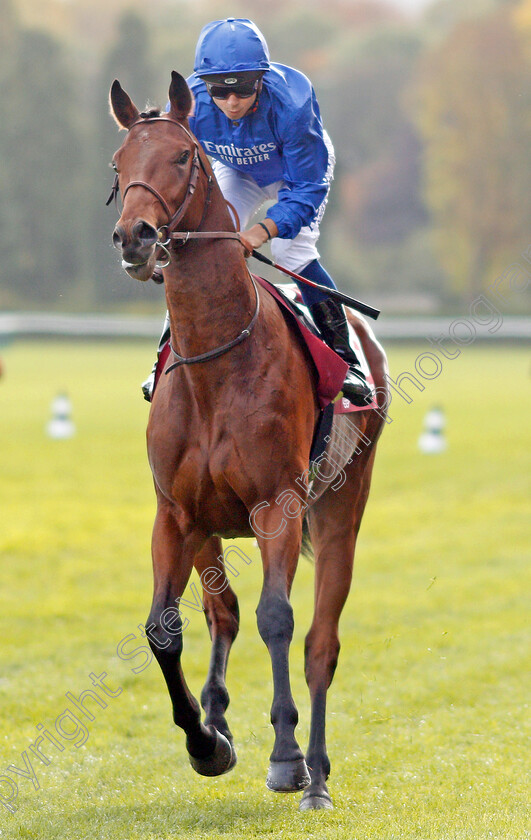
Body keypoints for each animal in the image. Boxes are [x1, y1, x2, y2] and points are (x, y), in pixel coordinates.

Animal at [110, 74, 388, 812]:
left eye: (182, 157)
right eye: (118, 165)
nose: (134, 236)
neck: (215, 363)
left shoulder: (276, 507)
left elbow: (278, 619)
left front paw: (285, 757)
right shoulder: (175, 513)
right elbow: (166, 626)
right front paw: (206, 741)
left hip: (341, 507)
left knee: (320, 642)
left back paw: (316, 773)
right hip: (211, 527)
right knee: (223, 612)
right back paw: (218, 714)